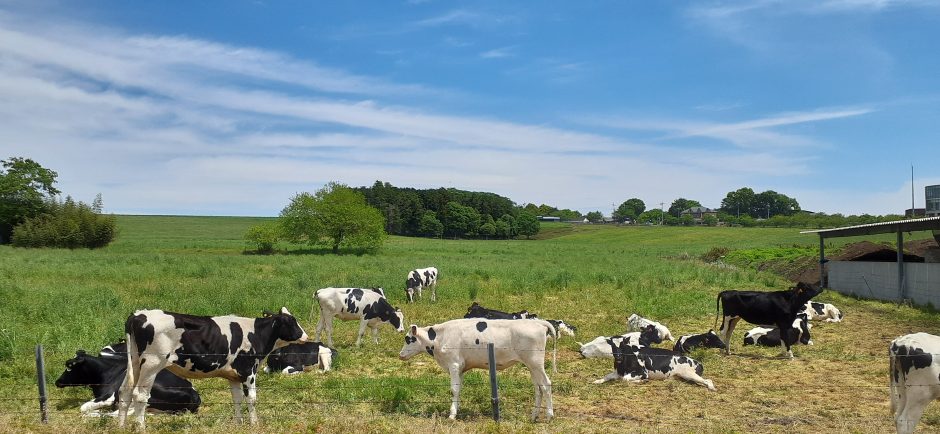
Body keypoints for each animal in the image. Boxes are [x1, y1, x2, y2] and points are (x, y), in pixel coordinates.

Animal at [54, 344, 200, 416]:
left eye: (70, 367)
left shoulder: (109, 397)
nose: (57, 381)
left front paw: (96, 411)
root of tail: (194, 394)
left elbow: (83, 408)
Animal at [116, 306, 308, 428]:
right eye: (291, 322)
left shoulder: (234, 375)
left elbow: (237, 398)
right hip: (152, 364)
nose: (305, 336)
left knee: (125, 391)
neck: (256, 334)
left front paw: (238, 423)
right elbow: (252, 399)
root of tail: (138, 314)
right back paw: (141, 428)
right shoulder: (248, 371)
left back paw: (121, 426)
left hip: (134, 361)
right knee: (140, 395)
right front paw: (254, 424)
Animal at [398, 318, 560, 420]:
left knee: (546, 385)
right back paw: (534, 415)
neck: (441, 337)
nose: (400, 355)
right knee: (538, 388)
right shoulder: (460, 368)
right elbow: (459, 389)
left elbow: (453, 389)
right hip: (531, 366)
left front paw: (451, 415)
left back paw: (549, 416)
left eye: (409, 339)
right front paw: (457, 410)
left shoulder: (454, 364)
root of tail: (538, 322)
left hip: (536, 363)